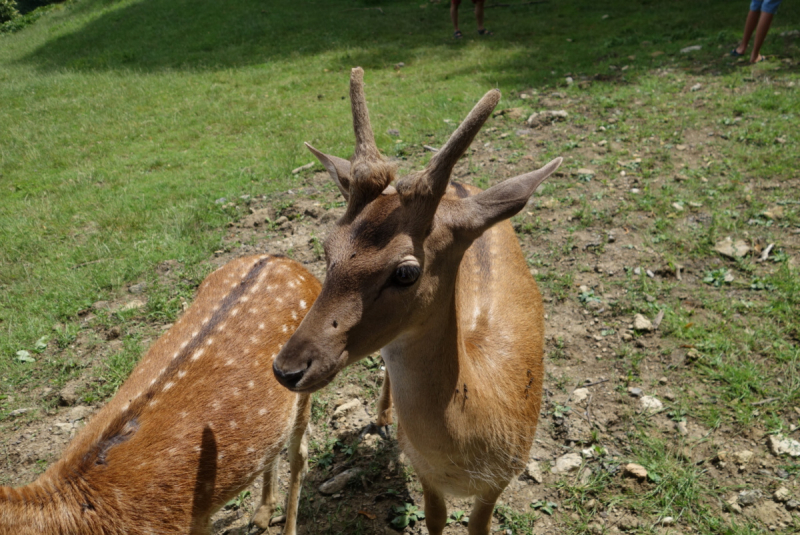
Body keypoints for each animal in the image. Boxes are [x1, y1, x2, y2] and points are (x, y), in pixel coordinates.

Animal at [276, 68, 564, 535]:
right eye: (325, 245)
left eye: (406, 272)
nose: (286, 369)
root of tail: (461, 188)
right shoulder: (424, 472)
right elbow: (434, 520)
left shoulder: (504, 477)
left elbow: (478, 527)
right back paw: (380, 417)